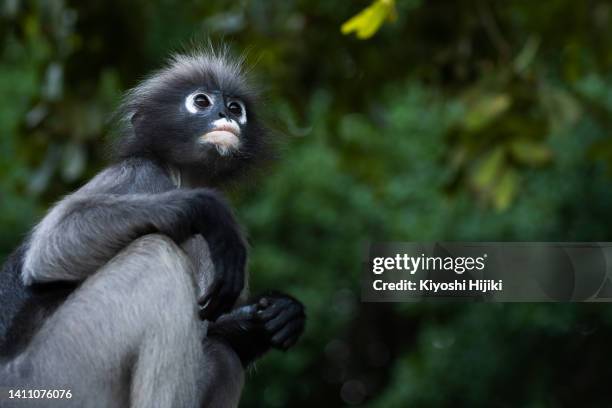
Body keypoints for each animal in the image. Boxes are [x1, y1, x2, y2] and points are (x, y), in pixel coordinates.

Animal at [0, 48, 306, 408]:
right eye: (201, 101)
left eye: (235, 108)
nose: (223, 113)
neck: (183, 177)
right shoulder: (140, 173)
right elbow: (50, 246)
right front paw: (207, 209)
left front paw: (280, 314)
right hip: (48, 376)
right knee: (156, 256)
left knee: (224, 356)